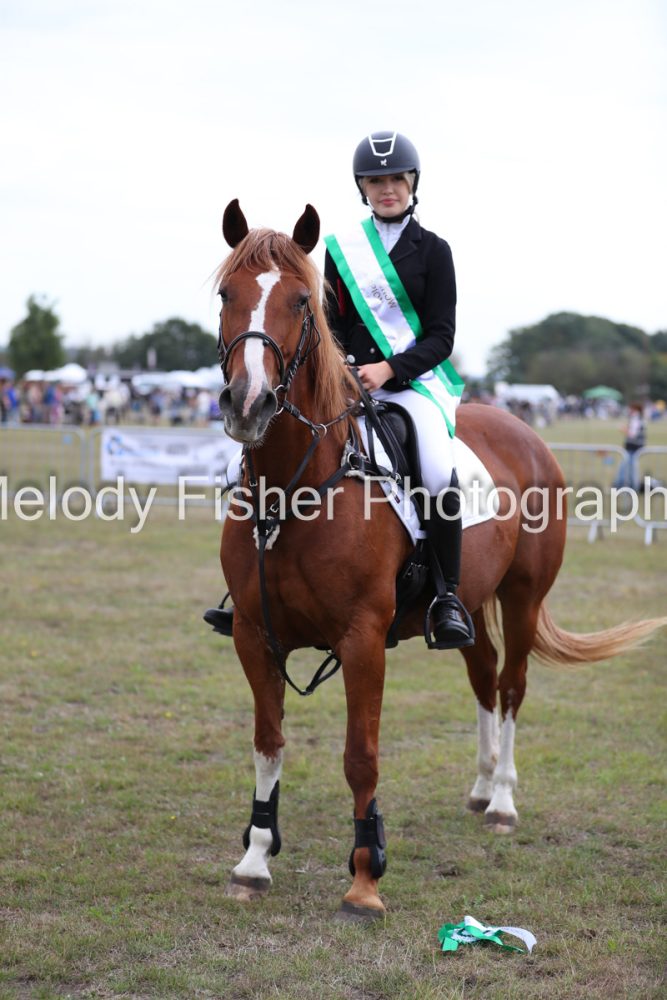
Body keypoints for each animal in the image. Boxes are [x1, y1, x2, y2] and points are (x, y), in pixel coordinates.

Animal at [213, 199, 665, 920]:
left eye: (300, 302)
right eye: (226, 294)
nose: (248, 404)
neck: (296, 486)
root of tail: (520, 429)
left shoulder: (362, 638)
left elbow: (360, 755)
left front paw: (365, 878)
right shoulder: (256, 637)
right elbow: (267, 742)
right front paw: (254, 860)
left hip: (522, 595)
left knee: (510, 686)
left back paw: (502, 800)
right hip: (470, 603)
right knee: (482, 677)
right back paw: (480, 791)